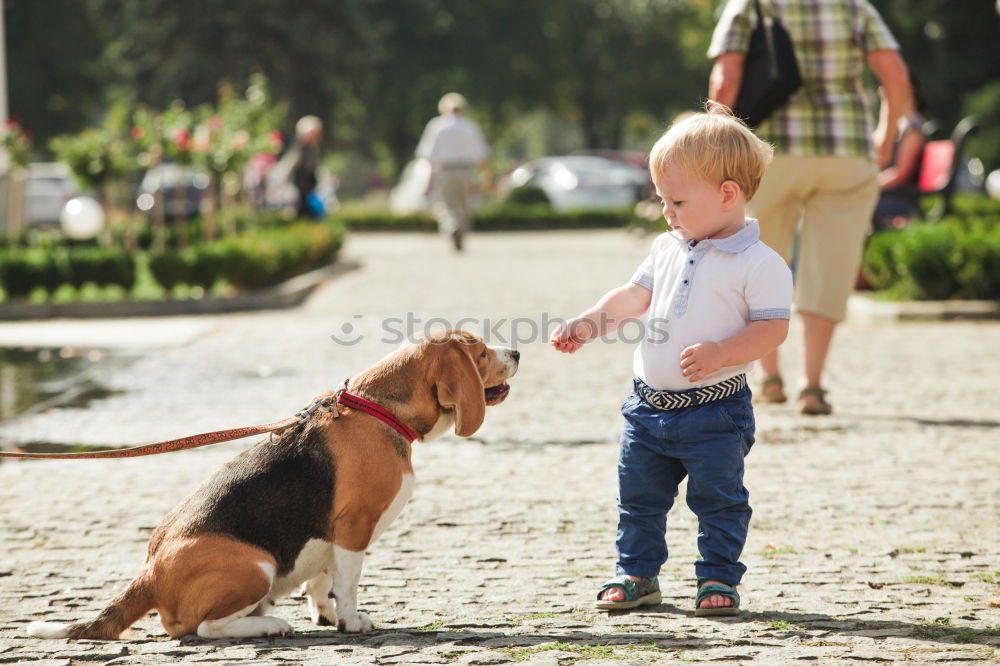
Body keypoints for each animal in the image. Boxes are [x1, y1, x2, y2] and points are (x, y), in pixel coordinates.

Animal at [27, 330, 520, 636]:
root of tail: (148, 573)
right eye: (479, 353)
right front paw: (351, 620)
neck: (376, 409)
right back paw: (268, 626)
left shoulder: (326, 532)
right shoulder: (354, 527)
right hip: (256, 565)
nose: (516, 352)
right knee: (202, 628)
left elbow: (322, 579)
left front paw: (326, 615)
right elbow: (348, 582)